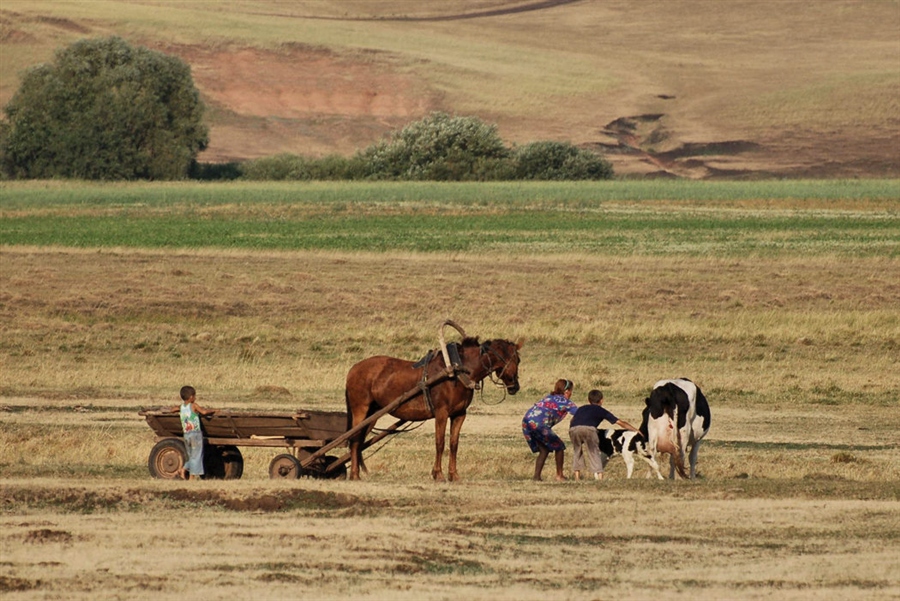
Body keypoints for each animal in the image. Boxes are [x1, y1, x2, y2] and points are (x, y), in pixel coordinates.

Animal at [348, 336, 524, 480]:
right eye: (510, 358)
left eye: (519, 360)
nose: (515, 386)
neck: (457, 372)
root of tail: (353, 369)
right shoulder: (441, 413)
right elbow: (440, 442)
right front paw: (438, 474)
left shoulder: (459, 414)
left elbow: (454, 444)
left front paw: (453, 475)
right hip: (361, 410)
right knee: (355, 440)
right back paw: (354, 475)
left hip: (373, 413)